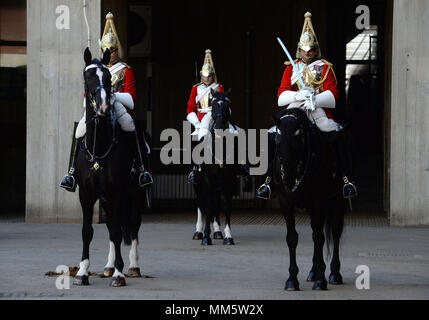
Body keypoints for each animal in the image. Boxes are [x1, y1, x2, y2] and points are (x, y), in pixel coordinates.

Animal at [72, 48, 146, 288]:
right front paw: (82, 272)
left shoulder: (119, 192)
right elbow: (87, 231)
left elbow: (117, 231)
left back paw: (132, 267)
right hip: (105, 198)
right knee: (113, 224)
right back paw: (109, 266)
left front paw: (119, 274)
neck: (100, 146)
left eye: (107, 77)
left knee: (132, 225)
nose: (104, 106)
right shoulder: (86, 194)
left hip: (136, 193)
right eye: (88, 77)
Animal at [191, 89, 241, 246]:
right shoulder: (207, 180)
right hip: (198, 182)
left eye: (227, 104)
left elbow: (226, 207)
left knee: (216, 203)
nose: (219, 127)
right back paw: (198, 232)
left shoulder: (229, 181)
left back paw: (217, 231)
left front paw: (228, 236)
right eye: (213, 105)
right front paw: (206, 237)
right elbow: (207, 206)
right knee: (200, 203)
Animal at [274, 107, 344, 290]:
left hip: (337, 199)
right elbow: (292, 238)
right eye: (277, 141)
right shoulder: (286, 201)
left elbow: (320, 238)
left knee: (335, 231)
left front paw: (321, 280)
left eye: (298, 140)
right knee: (315, 232)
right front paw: (292, 280)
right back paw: (313, 271)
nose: (288, 180)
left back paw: (334, 273)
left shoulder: (319, 201)